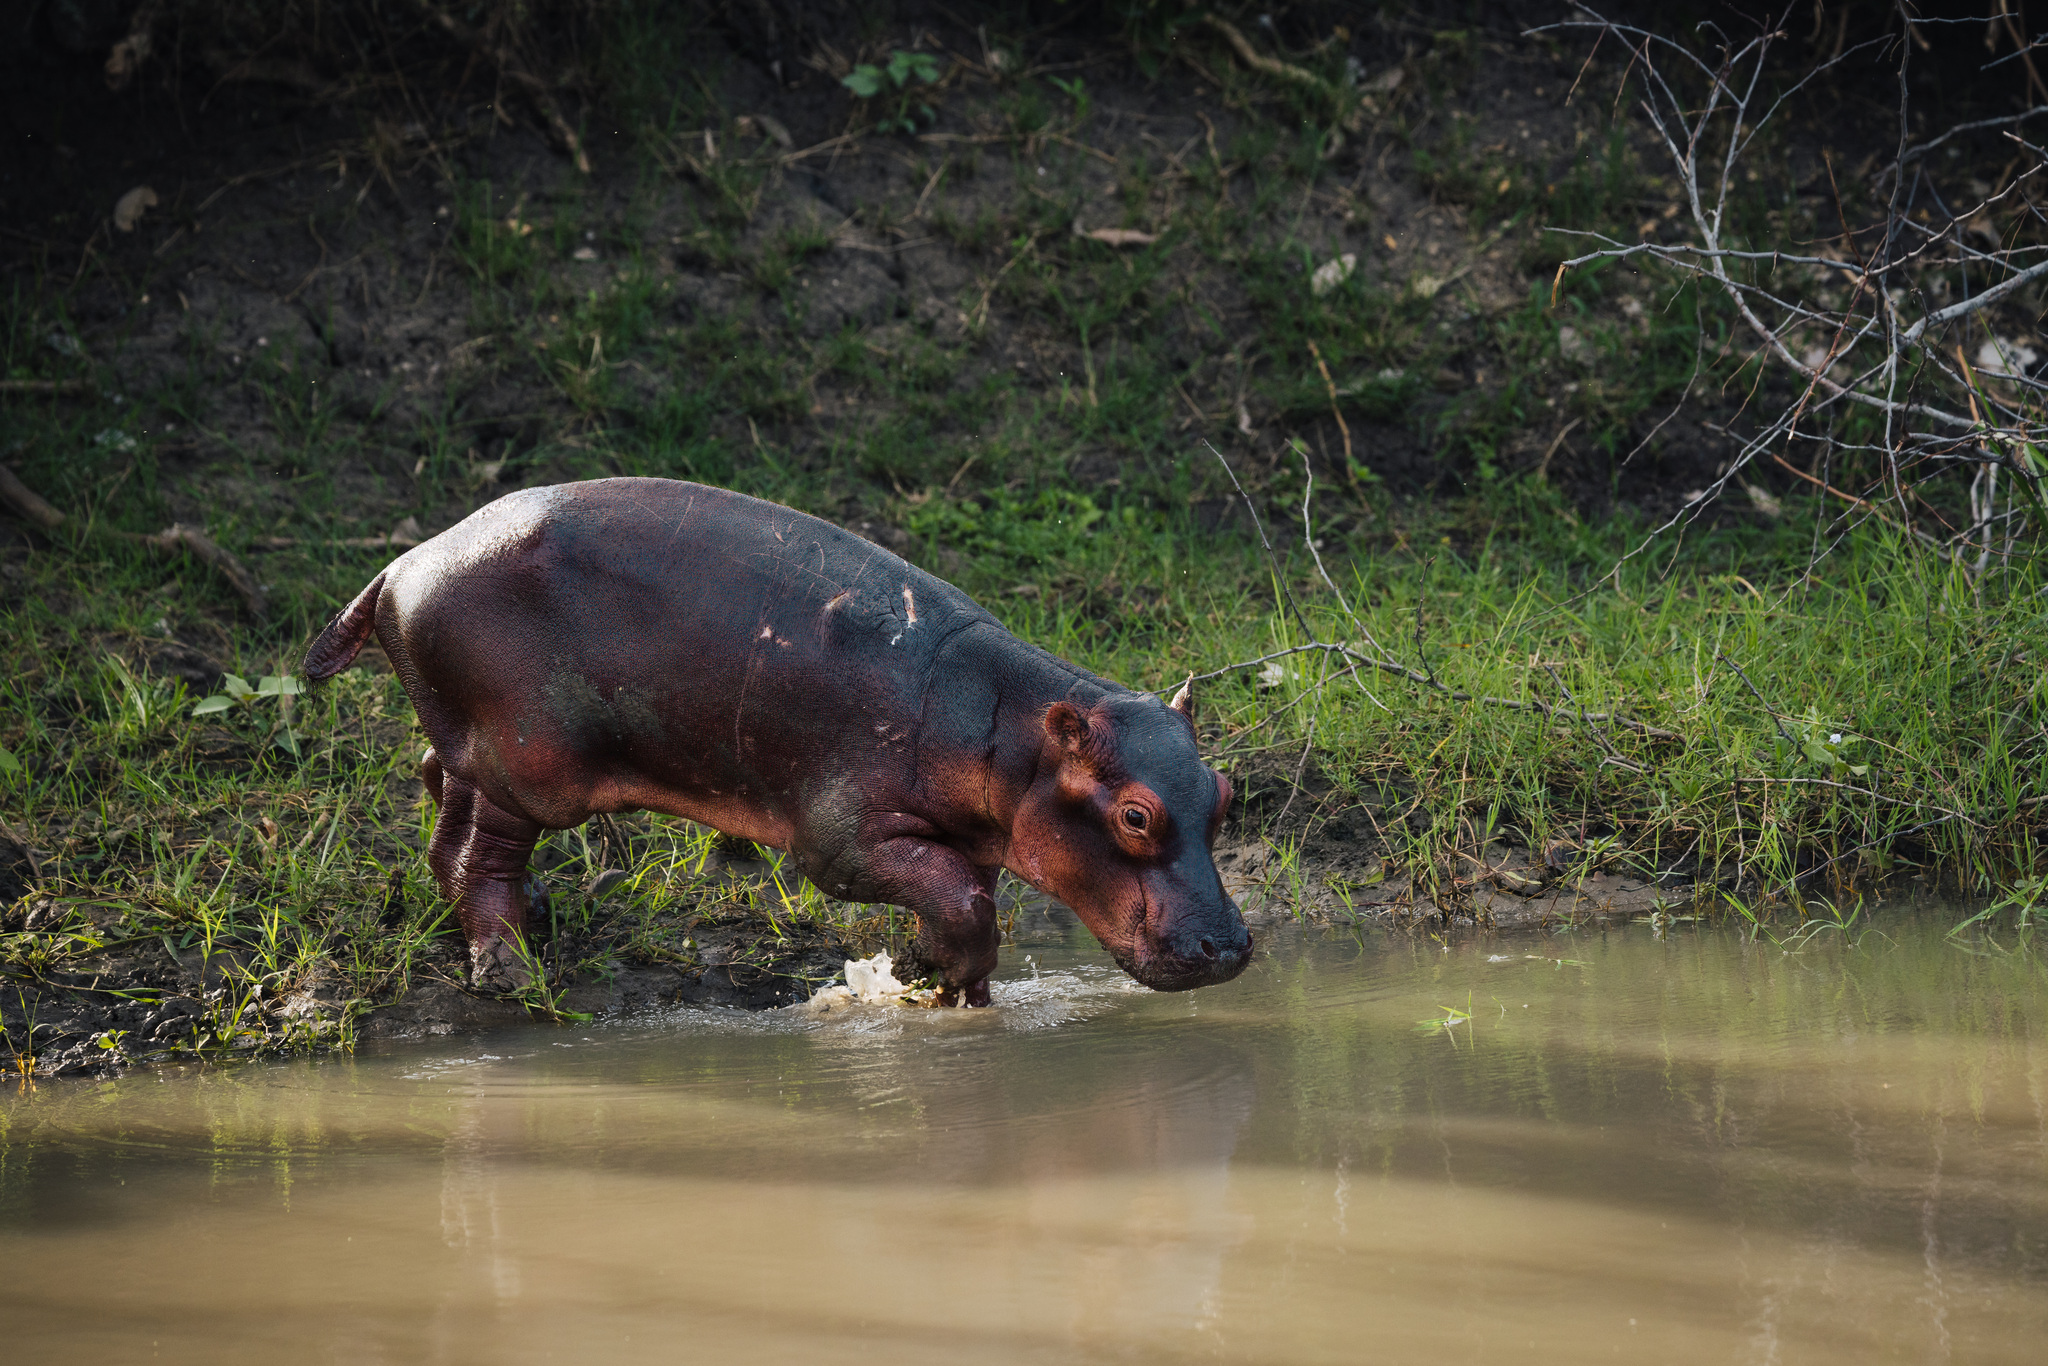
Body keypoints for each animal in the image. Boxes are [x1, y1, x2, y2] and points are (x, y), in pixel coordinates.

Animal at [301, 478, 1251, 1005]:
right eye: (1135, 816)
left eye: (1225, 795)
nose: (1232, 949)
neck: (1006, 727)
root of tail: (400, 563)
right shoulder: (843, 837)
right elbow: (956, 899)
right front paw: (929, 979)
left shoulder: (970, 838)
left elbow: (968, 903)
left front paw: (950, 988)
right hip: (530, 760)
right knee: (476, 852)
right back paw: (510, 969)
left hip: (482, 743)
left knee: (441, 788)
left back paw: (530, 917)